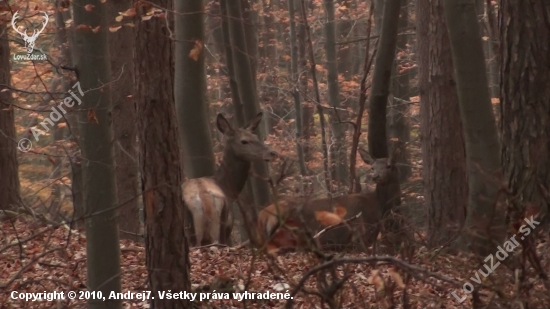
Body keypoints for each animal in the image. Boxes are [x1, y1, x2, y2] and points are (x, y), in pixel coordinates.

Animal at [183, 112, 278, 245]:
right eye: (244, 141)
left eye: (255, 136)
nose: (273, 153)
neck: (228, 189)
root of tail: (204, 199)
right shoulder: (229, 224)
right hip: (217, 228)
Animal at [256, 147, 404, 250]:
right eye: (372, 167)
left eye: (389, 165)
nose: (376, 176)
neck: (377, 207)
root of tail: (262, 217)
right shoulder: (359, 233)